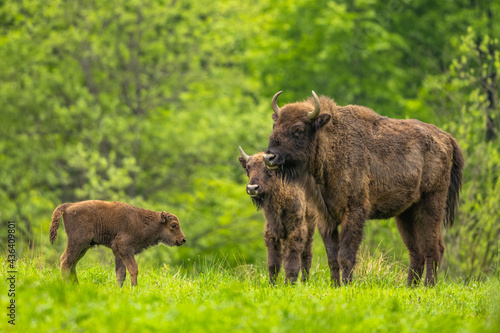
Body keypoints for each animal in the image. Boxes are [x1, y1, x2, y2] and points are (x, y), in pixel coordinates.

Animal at [49, 200, 187, 286]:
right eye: (173, 225)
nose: (183, 239)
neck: (141, 220)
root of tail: (68, 206)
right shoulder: (125, 248)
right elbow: (133, 269)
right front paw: (134, 288)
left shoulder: (117, 252)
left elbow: (121, 273)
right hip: (77, 242)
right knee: (65, 261)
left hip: (83, 247)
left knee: (72, 264)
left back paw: (76, 285)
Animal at [239, 147, 316, 284]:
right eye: (248, 168)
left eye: (268, 169)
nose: (252, 188)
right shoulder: (271, 232)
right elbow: (273, 264)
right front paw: (272, 284)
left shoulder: (295, 231)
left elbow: (292, 262)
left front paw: (289, 284)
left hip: (310, 228)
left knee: (306, 255)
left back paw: (305, 281)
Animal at [264, 90, 462, 286]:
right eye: (275, 126)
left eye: (298, 130)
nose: (269, 157)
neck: (332, 142)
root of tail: (445, 138)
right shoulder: (325, 217)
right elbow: (332, 258)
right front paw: (335, 285)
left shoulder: (355, 211)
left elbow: (346, 255)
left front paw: (347, 285)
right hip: (405, 213)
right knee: (416, 252)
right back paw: (410, 288)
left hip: (431, 203)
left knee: (434, 248)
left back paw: (428, 287)